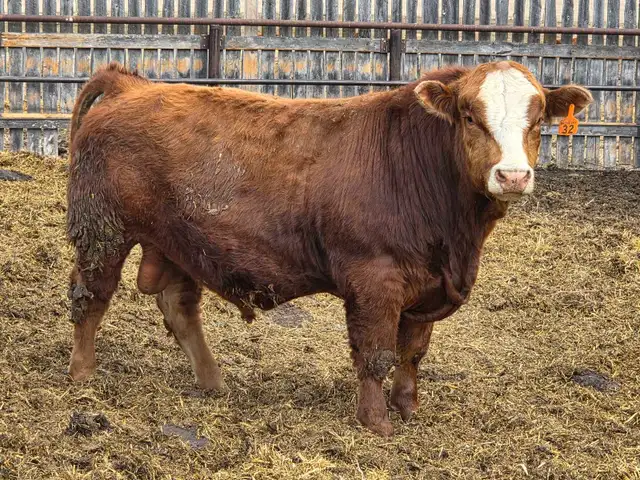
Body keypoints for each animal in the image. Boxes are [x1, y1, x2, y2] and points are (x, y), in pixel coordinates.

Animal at [66, 60, 592, 436]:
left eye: (537, 119)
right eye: (469, 115)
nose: (513, 175)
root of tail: (132, 85)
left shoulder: (426, 285)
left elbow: (412, 352)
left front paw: (407, 407)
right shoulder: (374, 279)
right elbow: (376, 352)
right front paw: (376, 421)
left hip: (180, 241)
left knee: (179, 306)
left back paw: (212, 382)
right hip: (101, 230)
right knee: (90, 297)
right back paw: (83, 372)